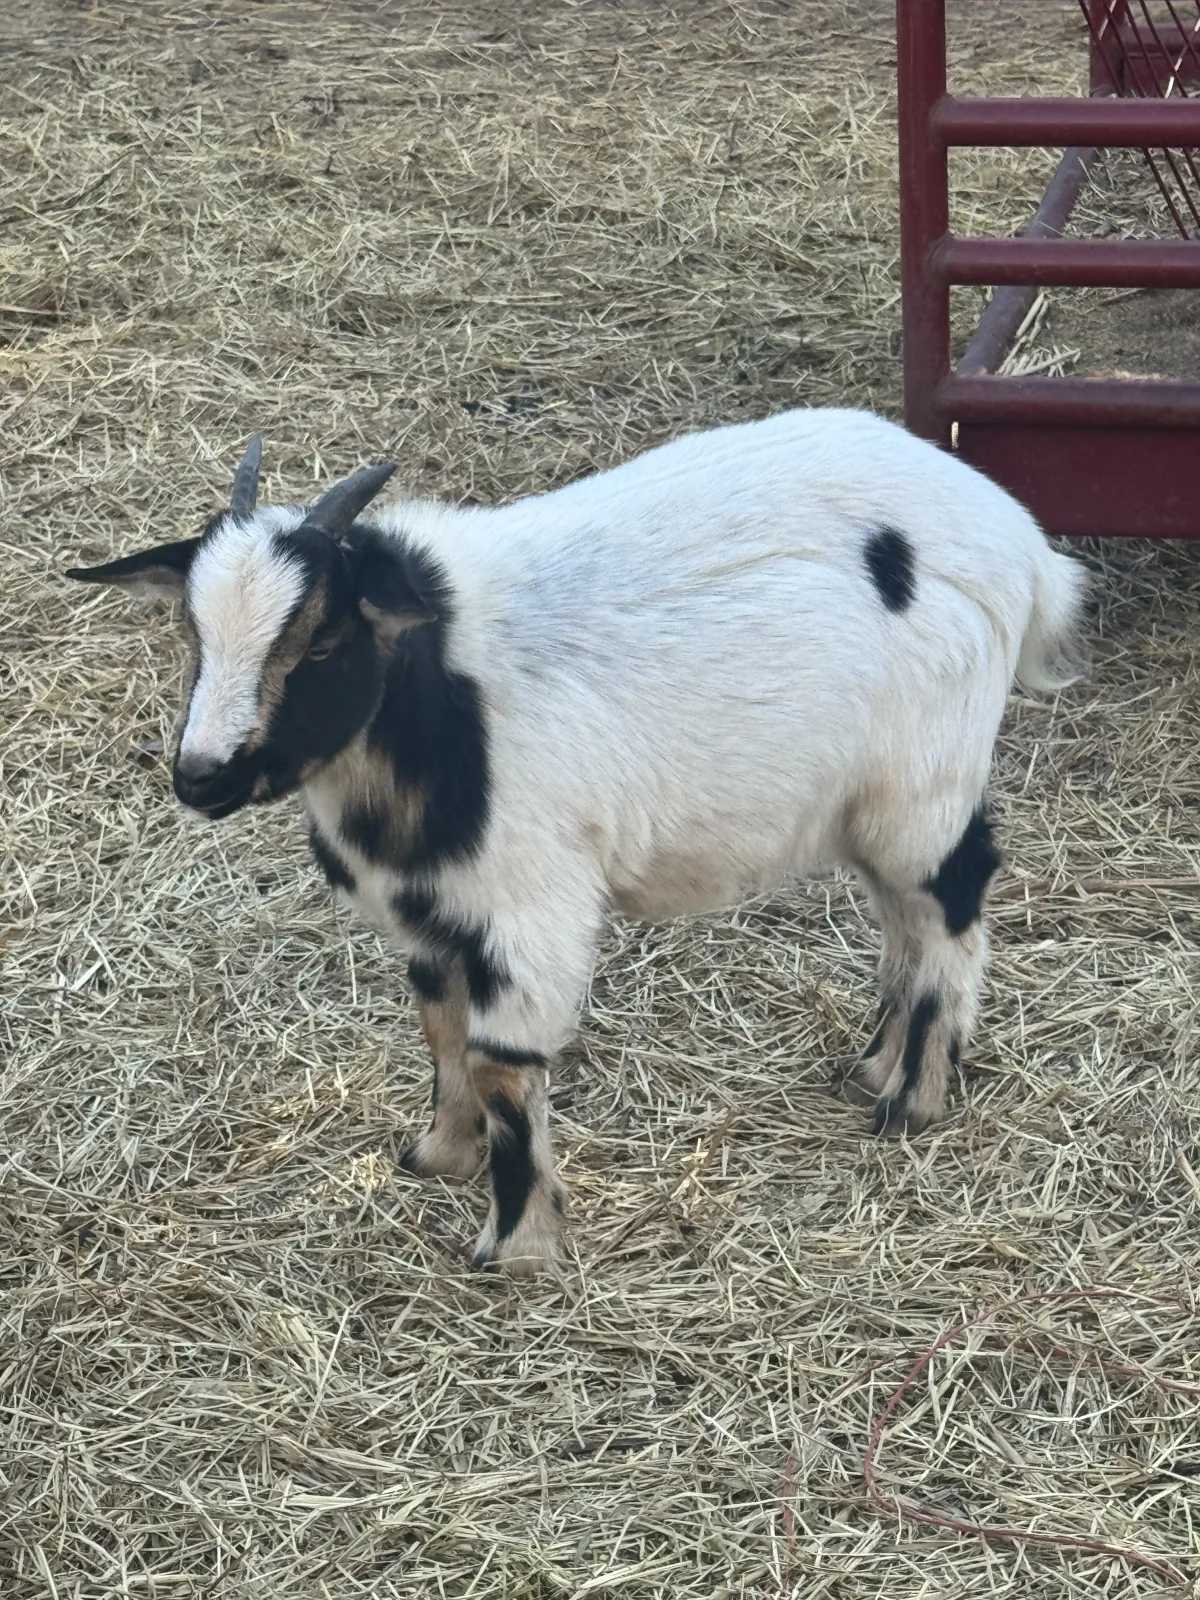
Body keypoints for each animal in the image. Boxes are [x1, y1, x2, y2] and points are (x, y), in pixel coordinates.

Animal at [67, 411, 1088, 1273]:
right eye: (193, 631)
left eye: (320, 642)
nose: (200, 776)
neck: (432, 704)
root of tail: (1023, 544)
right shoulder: (433, 914)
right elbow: (439, 1028)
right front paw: (439, 1154)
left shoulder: (527, 906)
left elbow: (499, 1065)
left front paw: (516, 1247)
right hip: (870, 803)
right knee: (904, 916)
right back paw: (876, 1066)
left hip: (925, 779)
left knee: (952, 900)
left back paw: (912, 1098)